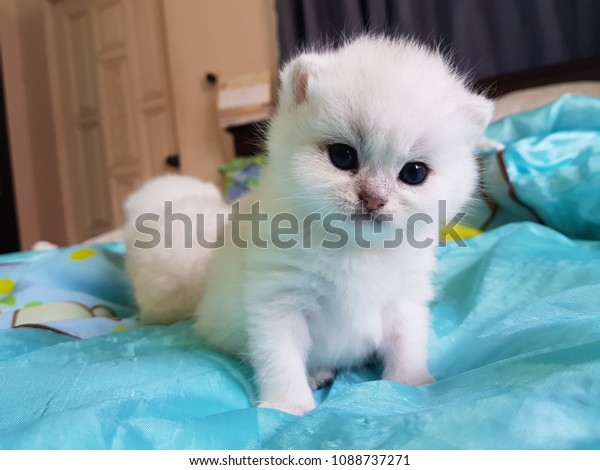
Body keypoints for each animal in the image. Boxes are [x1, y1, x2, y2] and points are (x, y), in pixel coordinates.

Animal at [123, 35, 492, 414]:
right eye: (342, 156)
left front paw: (409, 386)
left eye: (414, 173)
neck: (354, 248)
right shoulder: (278, 301)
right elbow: (281, 358)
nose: (373, 199)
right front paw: (289, 407)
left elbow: (408, 343)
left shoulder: (404, 298)